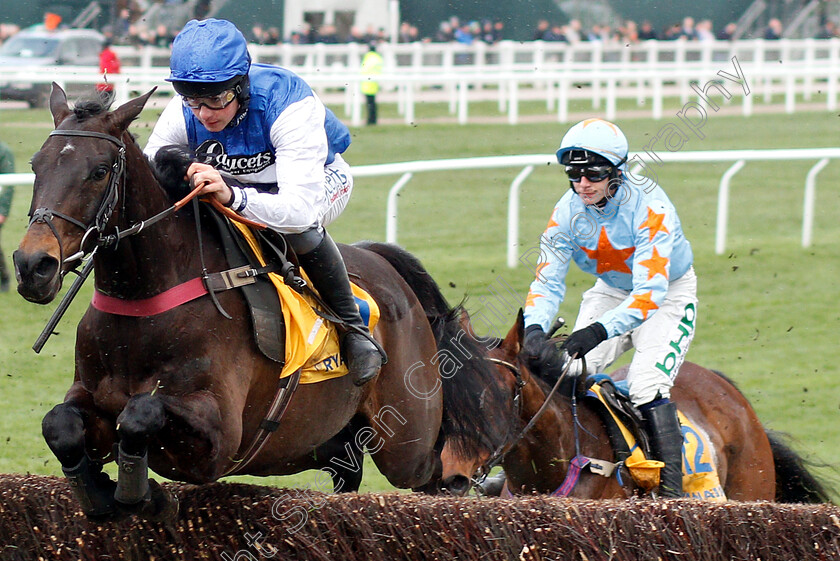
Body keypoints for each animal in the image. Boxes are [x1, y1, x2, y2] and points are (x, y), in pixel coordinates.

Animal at [13, 85, 508, 520]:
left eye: (99, 171)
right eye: (36, 165)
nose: (33, 265)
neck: (145, 305)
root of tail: (386, 264)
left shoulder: (218, 434)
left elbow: (141, 413)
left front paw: (145, 496)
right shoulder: (89, 396)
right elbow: (59, 424)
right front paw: (99, 492)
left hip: (407, 441)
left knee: (439, 476)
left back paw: (486, 481)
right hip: (332, 439)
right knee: (350, 474)